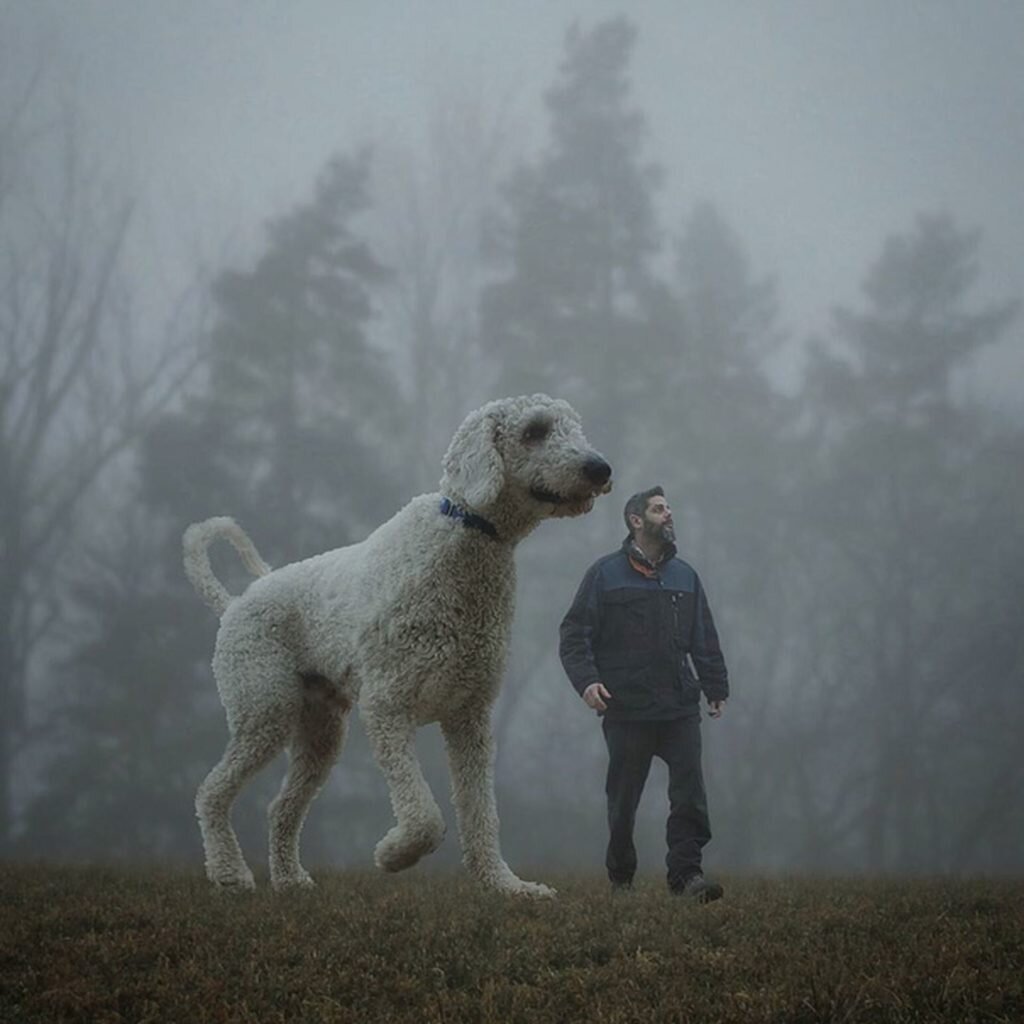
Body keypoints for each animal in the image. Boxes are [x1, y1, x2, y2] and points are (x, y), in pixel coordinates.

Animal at [184, 391, 610, 897]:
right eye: (535, 430)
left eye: (573, 425)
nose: (600, 468)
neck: (465, 538)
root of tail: (233, 603)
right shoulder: (388, 707)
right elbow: (424, 815)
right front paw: (393, 854)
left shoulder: (470, 719)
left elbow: (481, 814)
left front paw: (506, 885)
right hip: (265, 708)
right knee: (211, 792)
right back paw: (230, 873)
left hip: (320, 730)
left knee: (280, 809)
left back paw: (290, 879)